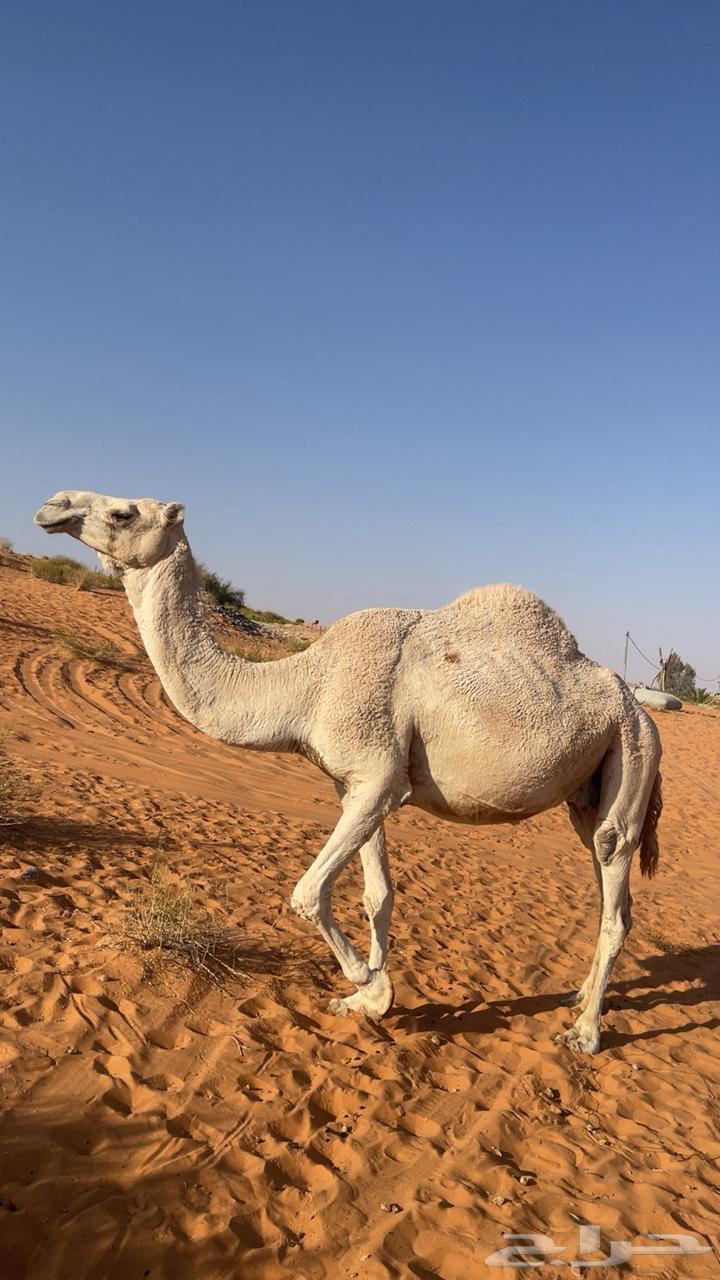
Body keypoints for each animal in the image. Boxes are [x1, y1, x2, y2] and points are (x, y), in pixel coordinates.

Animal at [34, 490, 662, 1053]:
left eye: (123, 512)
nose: (51, 505)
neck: (305, 686)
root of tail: (640, 708)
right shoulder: (354, 783)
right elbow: (377, 893)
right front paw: (370, 1000)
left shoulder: (379, 776)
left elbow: (309, 892)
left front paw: (368, 982)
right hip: (588, 790)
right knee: (609, 888)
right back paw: (578, 999)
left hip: (633, 752)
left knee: (613, 877)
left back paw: (585, 1034)